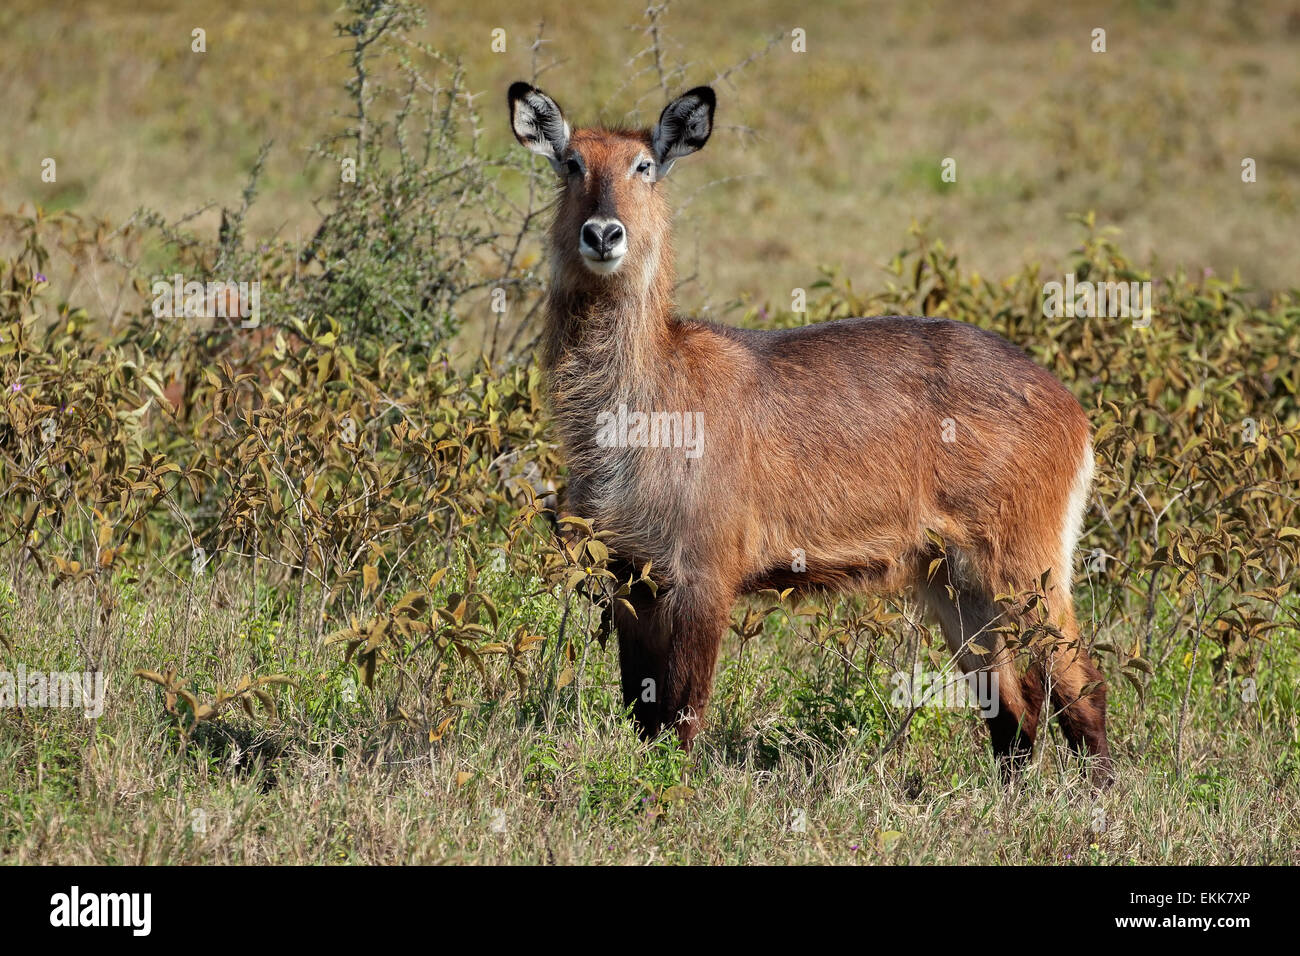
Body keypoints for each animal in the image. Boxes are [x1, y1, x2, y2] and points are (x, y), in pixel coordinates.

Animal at [512, 80, 1112, 785]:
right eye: (571, 163)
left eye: (645, 166)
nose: (604, 233)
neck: (648, 399)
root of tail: (1071, 409)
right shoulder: (630, 574)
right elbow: (643, 713)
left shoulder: (703, 575)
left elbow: (681, 716)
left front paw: (672, 797)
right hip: (953, 580)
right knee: (1015, 710)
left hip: (1026, 566)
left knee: (1080, 684)